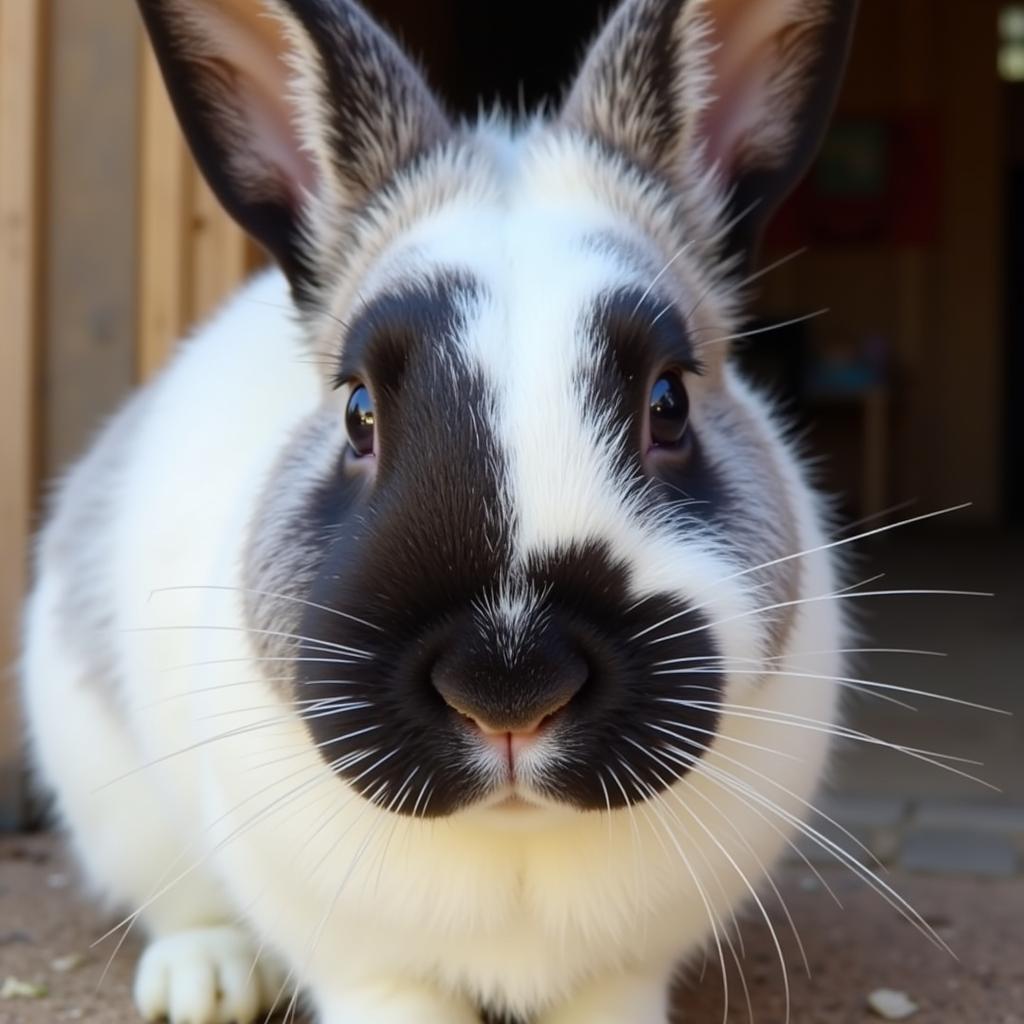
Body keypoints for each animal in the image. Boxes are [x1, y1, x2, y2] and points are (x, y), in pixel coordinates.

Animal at [19, 0, 860, 1019]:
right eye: (358, 413)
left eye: (668, 403)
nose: (509, 687)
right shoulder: (367, 964)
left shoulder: (622, 970)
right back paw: (205, 985)